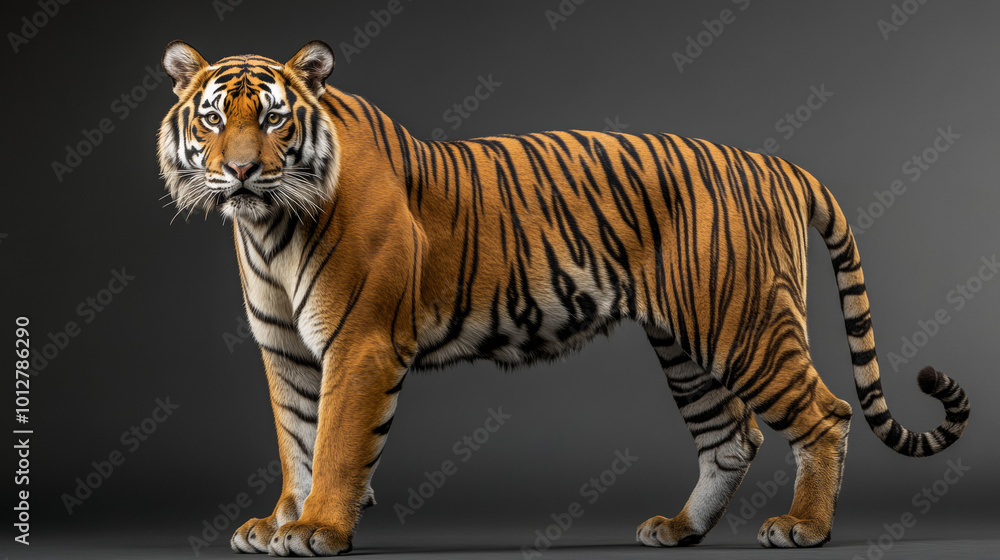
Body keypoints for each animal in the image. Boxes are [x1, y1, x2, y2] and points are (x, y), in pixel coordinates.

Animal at [157, 40, 970, 556]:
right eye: (212, 118)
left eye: (272, 117)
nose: (240, 172)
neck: (268, 227)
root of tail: (778, 164)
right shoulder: (287, 351)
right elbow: (296, 441)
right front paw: (277, 524)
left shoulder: (359, 345)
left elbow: (334, 445)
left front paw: (318, 530)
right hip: (687, 343)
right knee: (732, 436)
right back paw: (680, 530)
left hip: (743, 327)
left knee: (825, 415)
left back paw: (803, 528)